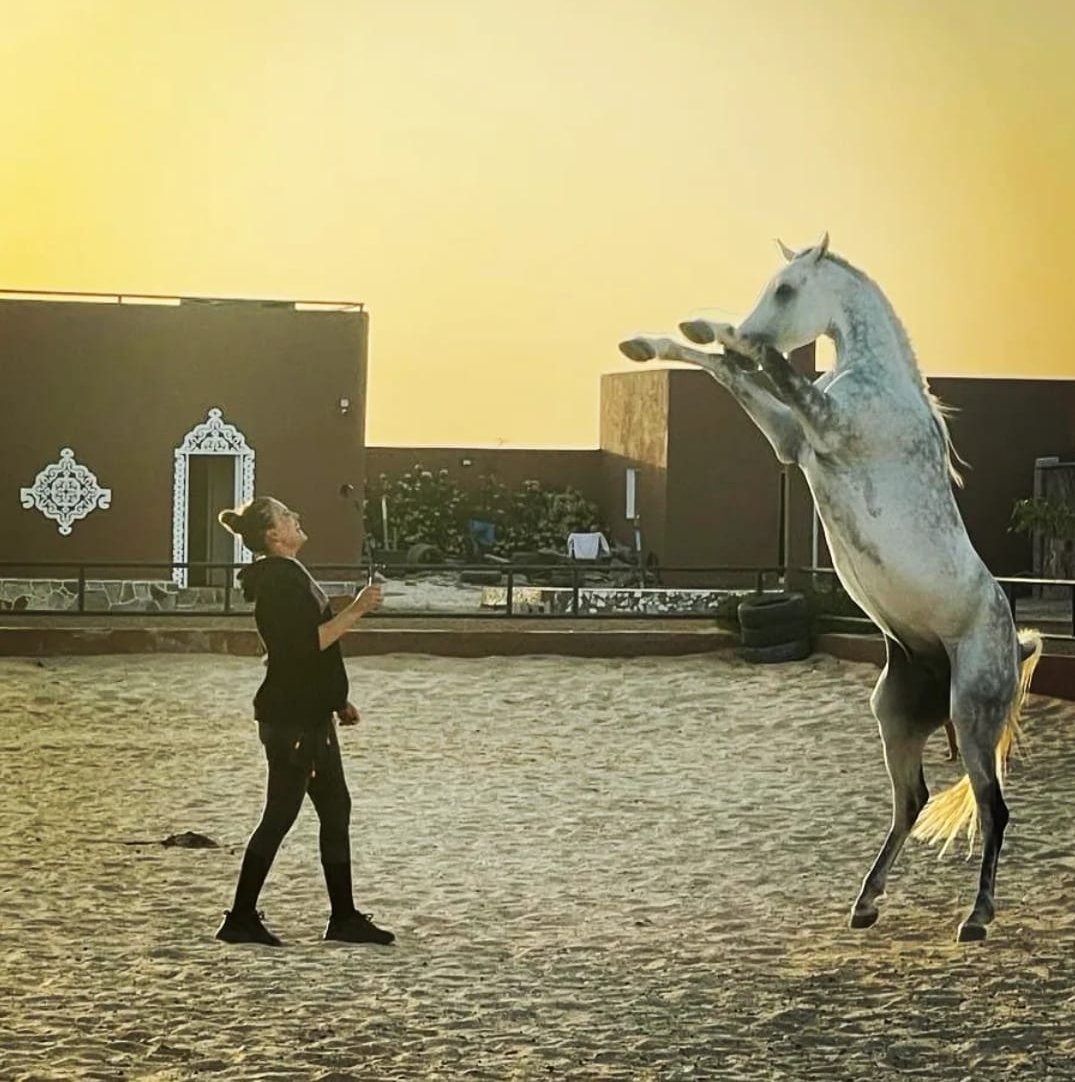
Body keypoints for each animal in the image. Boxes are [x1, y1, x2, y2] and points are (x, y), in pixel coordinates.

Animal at [619, 235, 1042, 942]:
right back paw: (865, 902)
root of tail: (1016, 644)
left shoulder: (822, 426)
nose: (756, 323)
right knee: (912, 801)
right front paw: (652, 342)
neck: (880, 382)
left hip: (972, 714)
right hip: (896, 715)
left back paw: (976, 917)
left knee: (994, 808)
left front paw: (712, 330)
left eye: (787, 290)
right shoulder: (794, 441)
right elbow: (732, 375)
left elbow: (753, 367)